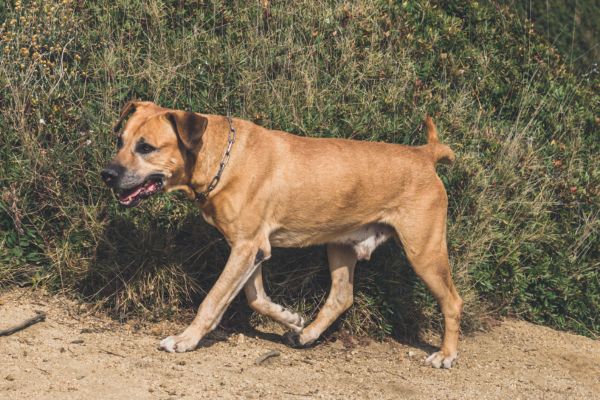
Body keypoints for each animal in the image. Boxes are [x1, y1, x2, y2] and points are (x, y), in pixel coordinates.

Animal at [101, 101, 462, 368]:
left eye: (146, 147)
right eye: (120, 141)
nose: (107, 174)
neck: (221, 158)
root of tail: (423, 154)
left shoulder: (246, 248)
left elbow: (213, 300)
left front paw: (185, 339)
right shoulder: (253, 250)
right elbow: (256, 298)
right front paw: (290, 319)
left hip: (424, 252)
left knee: (452, 301)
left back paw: (445, 355)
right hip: (340, 246)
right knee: (341, 297)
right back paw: (307, 335)